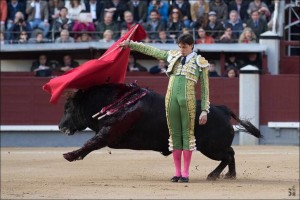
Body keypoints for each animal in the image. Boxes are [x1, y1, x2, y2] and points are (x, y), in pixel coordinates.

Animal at [59, 82, 262, 180]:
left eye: (69, 107)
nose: (61, 126)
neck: (117, 103)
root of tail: (222, 109)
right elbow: (91, 143)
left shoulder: (109, 133)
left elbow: (91, 143)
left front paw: (70, 155)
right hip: (214, 147)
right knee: (231, 153)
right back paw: (229, 175)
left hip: (211, 148)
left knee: (227, 155)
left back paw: (213, 175)